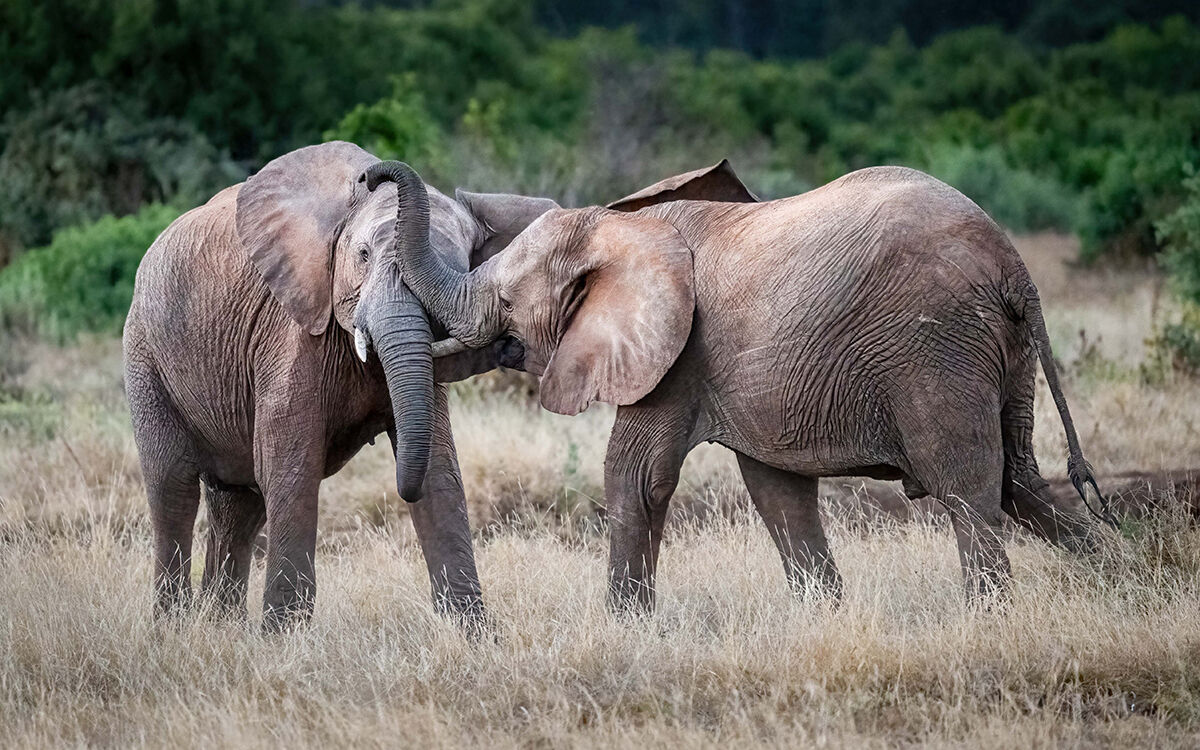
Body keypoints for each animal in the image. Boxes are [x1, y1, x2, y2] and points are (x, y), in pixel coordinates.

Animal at [123, 141, 559, 631]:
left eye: (455, 269)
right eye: (364, 254)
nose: (373, 175)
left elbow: (439, 470)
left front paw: (474, 636)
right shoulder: (289, 329)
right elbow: (290, 467)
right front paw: (284, 638)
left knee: (238, 504)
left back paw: (220, 628)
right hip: (145, 353)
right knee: (173, 486)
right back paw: (173, 628)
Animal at [397, 160, 1109, 613]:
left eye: (506, 300)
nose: (379, 173)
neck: (611, 227)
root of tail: (1012, 263)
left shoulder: (680, 355)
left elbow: (635, 474)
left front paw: (625, 628)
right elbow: (776, 491)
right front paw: (825, 615)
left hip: (936, 346)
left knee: (965, 483)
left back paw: (990, 616)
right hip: (999, 351)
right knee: (1019, 478)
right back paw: (1123, 578)